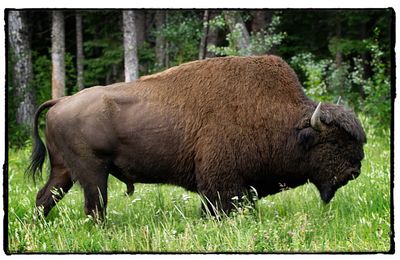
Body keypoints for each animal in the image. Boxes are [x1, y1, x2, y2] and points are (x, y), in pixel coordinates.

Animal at [27, 54, 366, 219]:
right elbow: (220, 206)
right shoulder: (222, 182)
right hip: (92, 173)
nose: (355, 170)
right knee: (94, 206)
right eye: (334, 142)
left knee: (45, 198)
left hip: (63, 171)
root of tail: (61, 101)